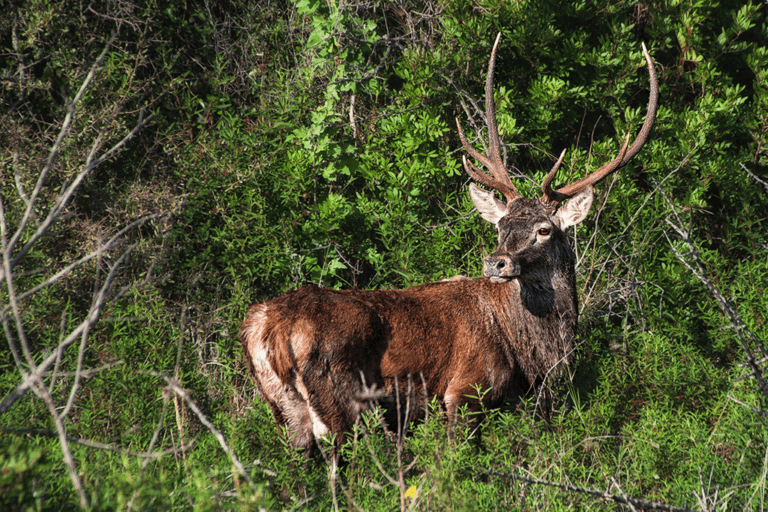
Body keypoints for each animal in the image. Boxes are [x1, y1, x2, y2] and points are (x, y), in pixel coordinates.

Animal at [240, 35, 658, 452]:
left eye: (544, 229)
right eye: (501, 224)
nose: (496, 262)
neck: (533, 357)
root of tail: (266, 331)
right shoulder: (467, 387)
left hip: (283, 407)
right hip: (340, 398)